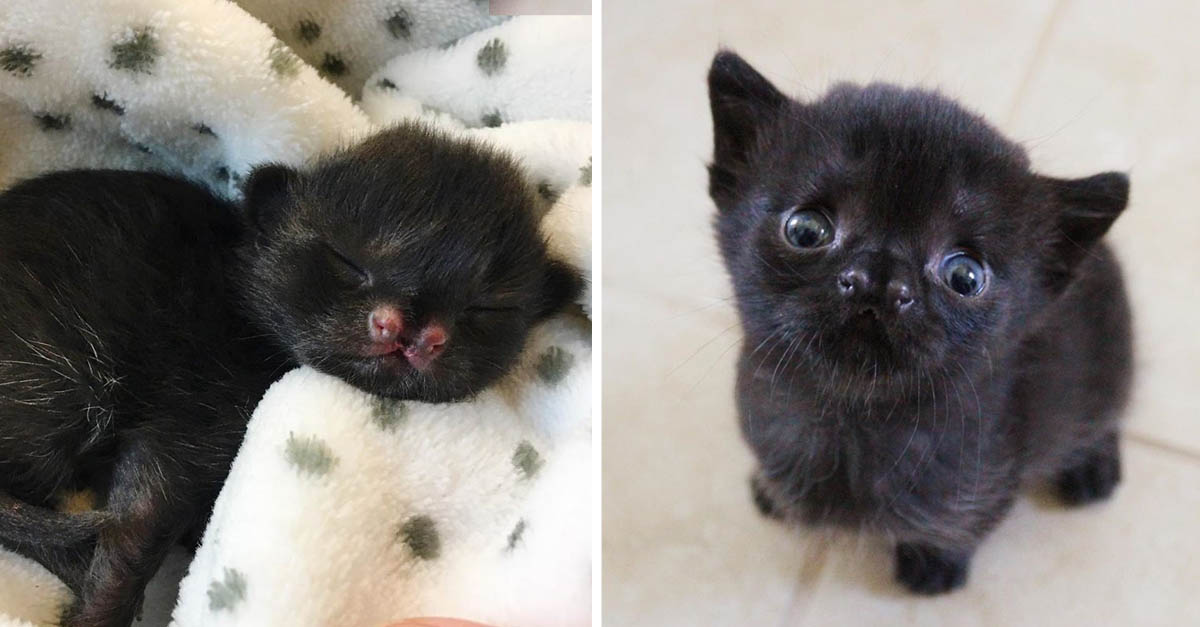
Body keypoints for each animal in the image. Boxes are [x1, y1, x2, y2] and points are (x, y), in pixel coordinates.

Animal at [0, 121, 580, 624]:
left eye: (488, 307)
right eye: (346, 260)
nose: (412, 330)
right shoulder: (185, 423)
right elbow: (135, 530)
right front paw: (100, 612)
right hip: (57, 378)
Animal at [710, 51, 1132, 593]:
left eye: (965, 276)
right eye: (806, 230)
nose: (877, 281)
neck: (850, 421)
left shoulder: (988, 477)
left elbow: (964, 522)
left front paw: (934, 566)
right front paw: (774, 494)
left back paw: (1092, 468)